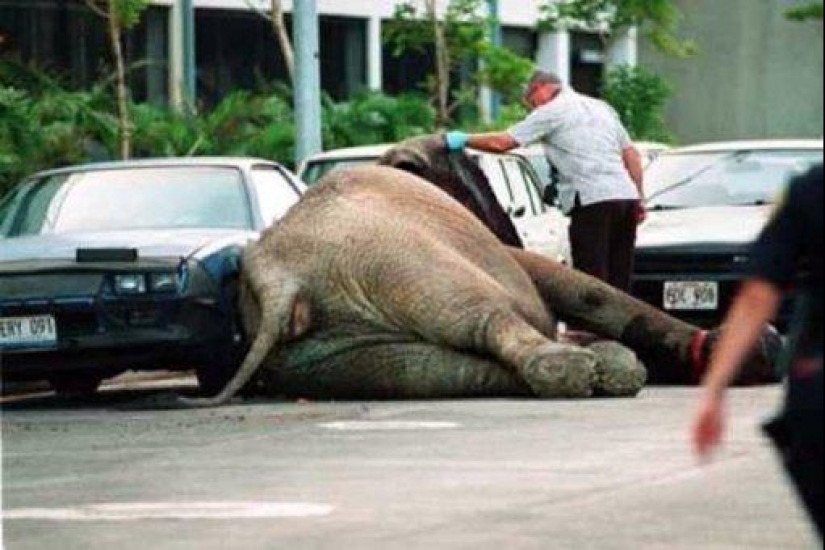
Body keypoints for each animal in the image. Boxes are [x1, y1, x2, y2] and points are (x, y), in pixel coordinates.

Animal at [179, 138, 780, 407]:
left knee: (430, 370)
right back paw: (586, 370)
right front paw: (747, 354)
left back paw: (599, 369)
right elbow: (583, 290)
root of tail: (280, 280)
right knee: (479, 314)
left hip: (325, 348)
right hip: (397, 258)